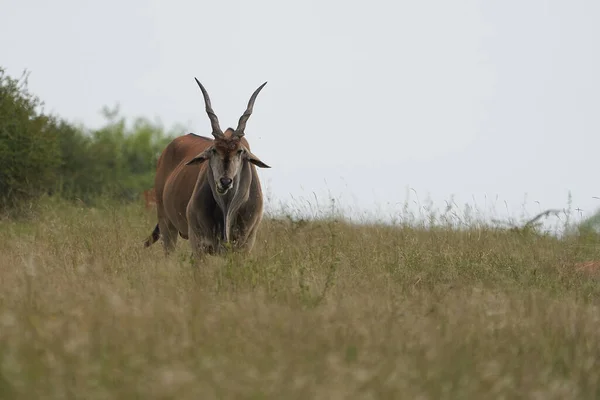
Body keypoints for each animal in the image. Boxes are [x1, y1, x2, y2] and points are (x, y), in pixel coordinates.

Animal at [144, 78, 270, 260]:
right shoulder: (199, 243)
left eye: (240, 151)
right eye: (213, 150)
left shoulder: (245, 244)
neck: (227, 209)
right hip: (166, 223)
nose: (225, 181)